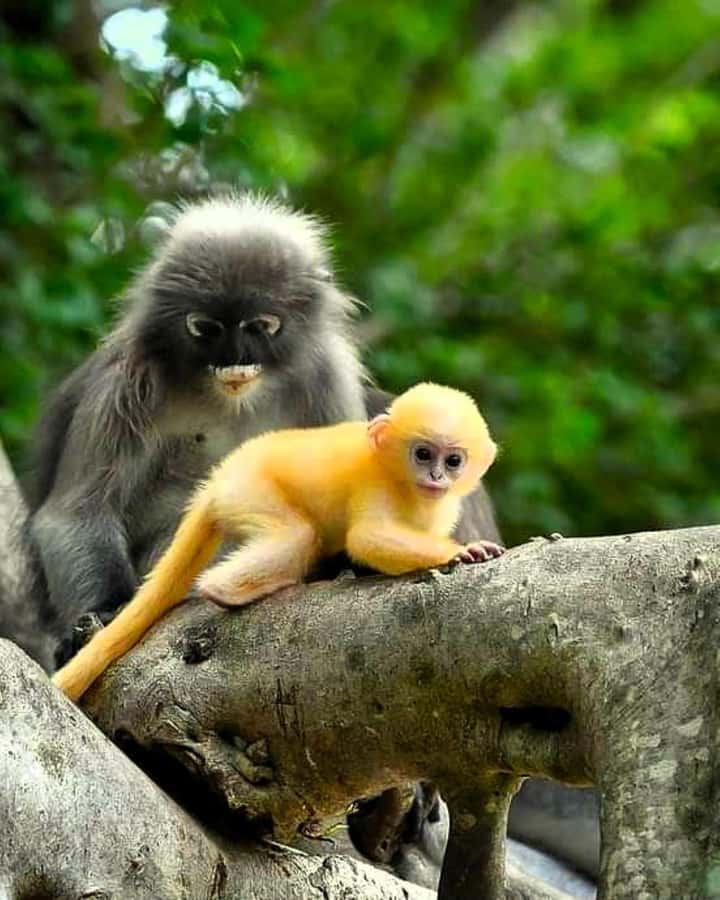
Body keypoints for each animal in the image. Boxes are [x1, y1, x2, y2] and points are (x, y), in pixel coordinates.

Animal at [25, 193, 369, 666]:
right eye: (206, 328)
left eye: (260, 326)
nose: (234, 358)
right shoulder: (127, 377)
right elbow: (75, 513)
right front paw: (102, 615)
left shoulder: (328, 377)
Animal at [52, 382, 503, 701]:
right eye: (423, 454)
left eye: (453, 460)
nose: (437, 477)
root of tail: (217, 480)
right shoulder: (378, 487)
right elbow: (367, 538)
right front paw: (465, 551)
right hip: (250, 491)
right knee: (295, 535)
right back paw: (231, 589)